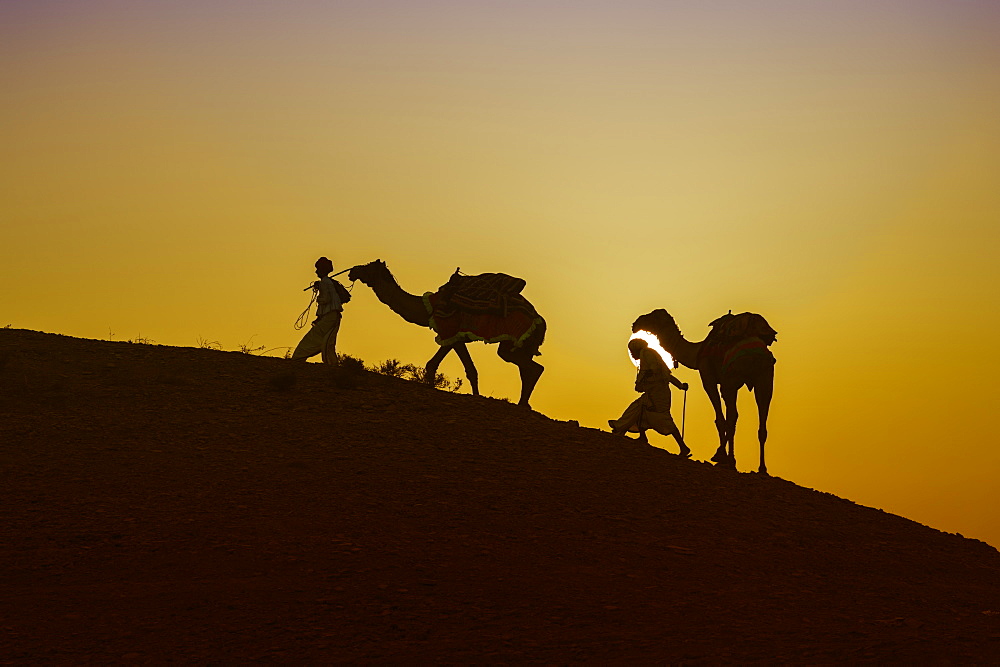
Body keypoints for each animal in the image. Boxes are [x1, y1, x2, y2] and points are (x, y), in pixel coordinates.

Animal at [346, 260, 548, 408]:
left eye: (368, 266)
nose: (352, 271)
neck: (427, 307)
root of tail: (540, 321)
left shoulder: (450, 331)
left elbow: (460, 368)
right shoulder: (453, 336)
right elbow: (442, 366)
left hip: (515, 339)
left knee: (532, 367)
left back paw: (523, 404)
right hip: (523, 345)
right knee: (529, 367)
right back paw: (525, 404)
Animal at [628, 310, 776, 472]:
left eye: (653, 315)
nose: (635, 323)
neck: (697, 351)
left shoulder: (708, 377)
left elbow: (720, 419)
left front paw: (722, 457)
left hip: (732, 379)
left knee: (733, 416)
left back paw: (727, 459)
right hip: (765, 377)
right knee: (762, 419)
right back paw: (762, 468)